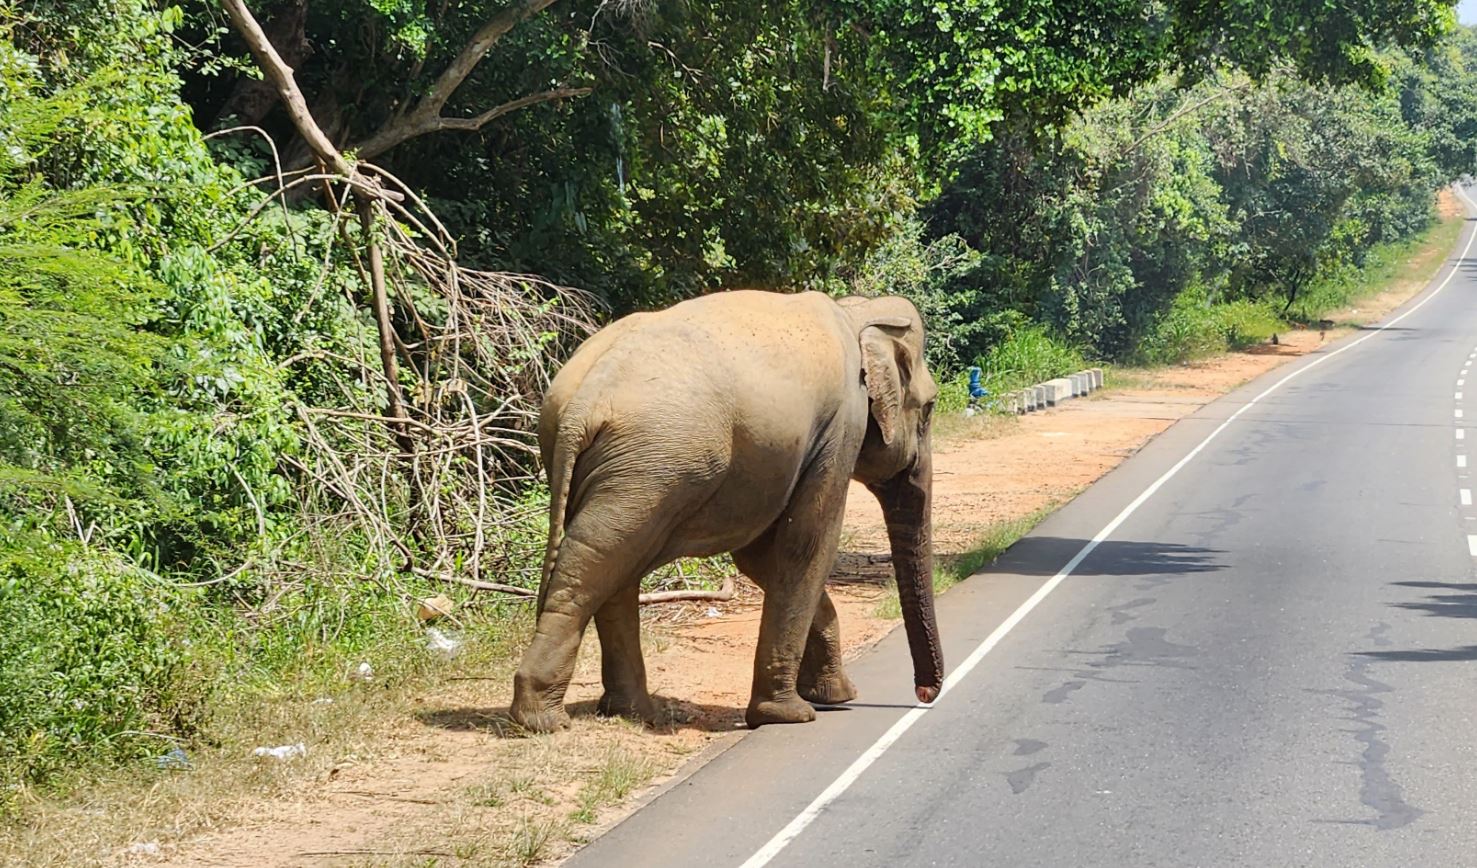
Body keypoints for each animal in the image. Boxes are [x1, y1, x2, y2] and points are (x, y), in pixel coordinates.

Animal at [509, 290, 944, 732]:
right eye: (928, 409)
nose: (925, 693)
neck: (857, 311)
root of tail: (581, 403)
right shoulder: (841, 427)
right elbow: (805, 545)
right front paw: (789, 715)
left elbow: (759, 555)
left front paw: (835, 696)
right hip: (651, 467)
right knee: (597, 562)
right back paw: (544, 721)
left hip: (625, 471)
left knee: (613, 566)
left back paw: (631, 713)